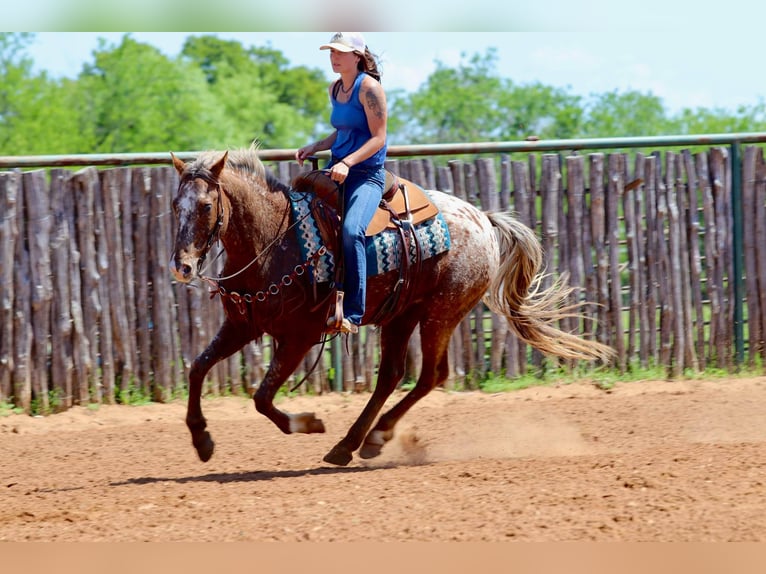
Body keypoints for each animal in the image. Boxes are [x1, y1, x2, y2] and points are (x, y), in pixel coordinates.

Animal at [169, 147, 613, 467]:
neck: (273, 238)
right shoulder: (242, 326)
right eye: (175, 205)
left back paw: (367, 439)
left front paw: (308, 423)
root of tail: (484, 220)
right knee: (392, 376)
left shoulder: (299, 337)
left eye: (206, 206)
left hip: (441, 314)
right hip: (402, 315)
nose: (182, 266)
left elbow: (262, 398)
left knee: (431, 375)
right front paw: (202, 440)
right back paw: (354, 443)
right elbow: (197, 369)